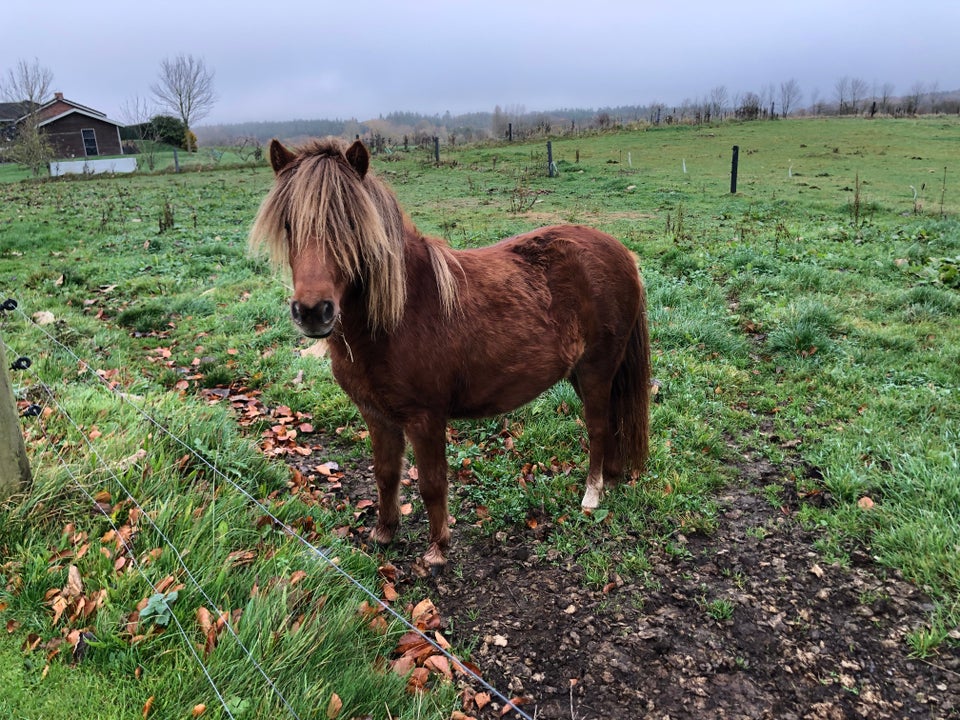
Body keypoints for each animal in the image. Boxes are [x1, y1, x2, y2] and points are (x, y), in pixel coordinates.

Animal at [249, 136, 652, 568]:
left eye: (352, 225)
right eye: (288, 224)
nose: (312, 311)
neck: (399, 315)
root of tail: (622, 253)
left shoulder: (425, 418)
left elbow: (431, 483)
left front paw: (437, 550)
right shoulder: (376, 414)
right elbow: (385, 473)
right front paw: (384, 532)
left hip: (596, 371)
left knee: (597, 428)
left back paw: (592, 494)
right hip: (583, 373)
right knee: (611, 424)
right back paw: (611, 480)